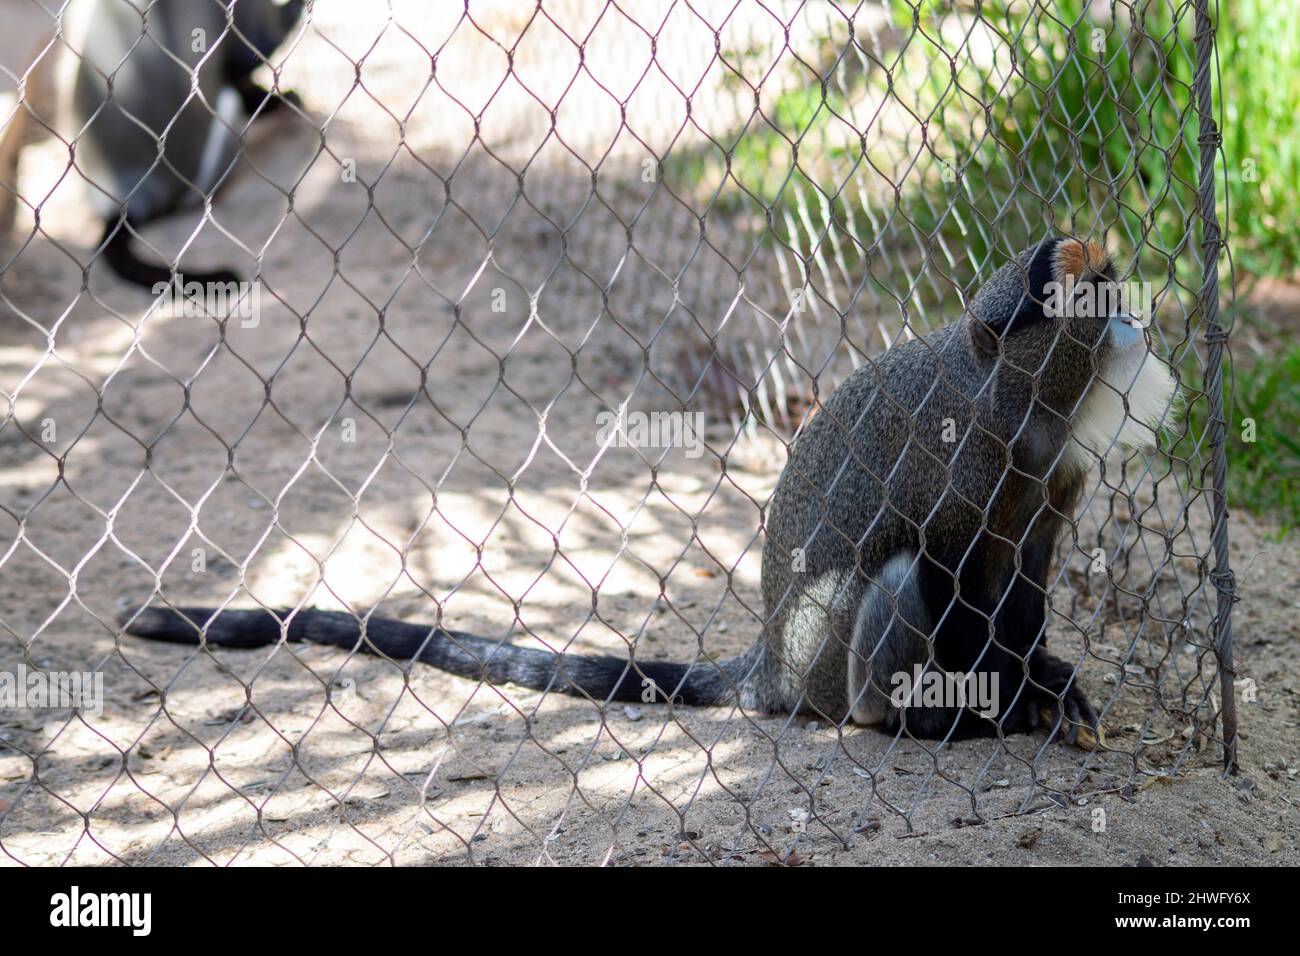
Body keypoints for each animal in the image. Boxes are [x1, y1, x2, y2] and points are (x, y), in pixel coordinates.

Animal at [121, 237, 1180, 742]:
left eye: (1110, 282)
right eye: (1088, 298)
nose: (1133, 317)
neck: (1021, 399)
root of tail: (773, 666)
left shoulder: (1051, 481)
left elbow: (1027, 579)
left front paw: (1046, 685)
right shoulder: (966, 470)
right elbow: (955, 577)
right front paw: (1005, 694)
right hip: (830, 666)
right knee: (894, 580)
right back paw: (925, 721)